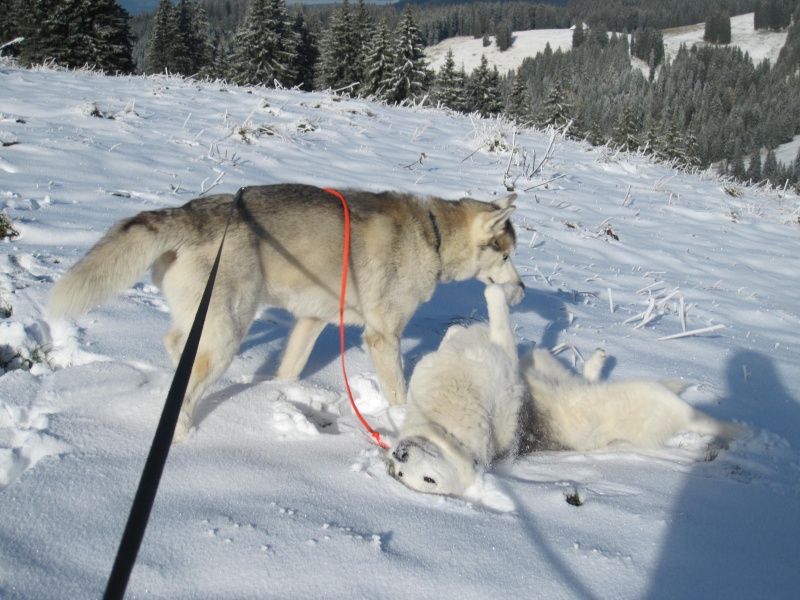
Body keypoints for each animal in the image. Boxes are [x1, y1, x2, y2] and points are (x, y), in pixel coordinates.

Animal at [48, 183, 524, 440]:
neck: (433, 234)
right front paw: (398, 420)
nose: (520, 290)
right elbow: (399, 394)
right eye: (506, 256)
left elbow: (289, 369)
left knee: (175, 342)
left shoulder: (311, 322)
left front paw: (277, 395)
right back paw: (181, 433)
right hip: (228, 329)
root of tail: (189, 211)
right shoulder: (383, 336)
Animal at [388, 284, 524, 496]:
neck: (444, 424)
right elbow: (500, 321)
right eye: (401, 473)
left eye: (429, 479)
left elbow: (499, 317)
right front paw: (496, 291)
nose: (400, 454)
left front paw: (497, 290)